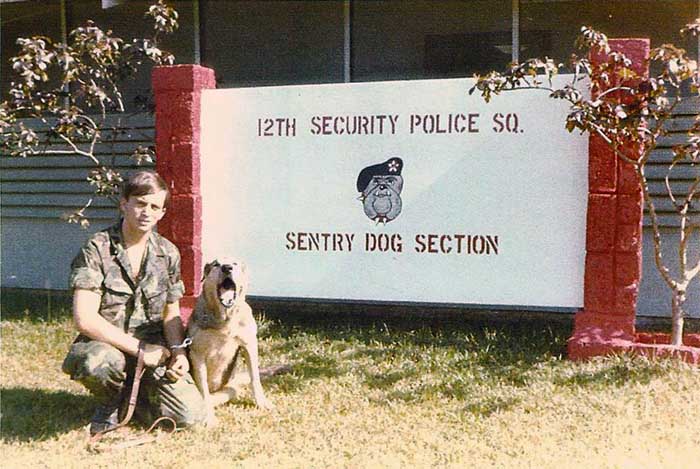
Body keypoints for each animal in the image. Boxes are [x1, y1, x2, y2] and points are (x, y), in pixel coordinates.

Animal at [187, 258, 272, 426]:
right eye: (216, 264)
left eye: (235, 263)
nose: (227, 268)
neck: (225, 319)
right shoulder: (197, 354)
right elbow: (203, 389)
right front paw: (209, 417)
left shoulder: (250, 344)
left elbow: (255, 377)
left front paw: (261, 402)